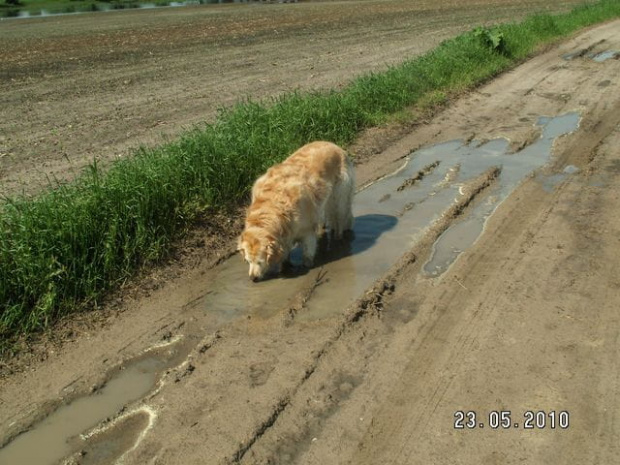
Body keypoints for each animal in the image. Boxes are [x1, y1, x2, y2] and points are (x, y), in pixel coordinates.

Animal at [237, 140, 354, 280]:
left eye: (260, 261)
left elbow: (308, 249)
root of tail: (333, 144)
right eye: (248, 261)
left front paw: (306, 264)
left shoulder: (306, 228)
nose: (253, 278)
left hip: (339, 194)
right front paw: (284, 266)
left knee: (340, 214)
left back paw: (339, 236)